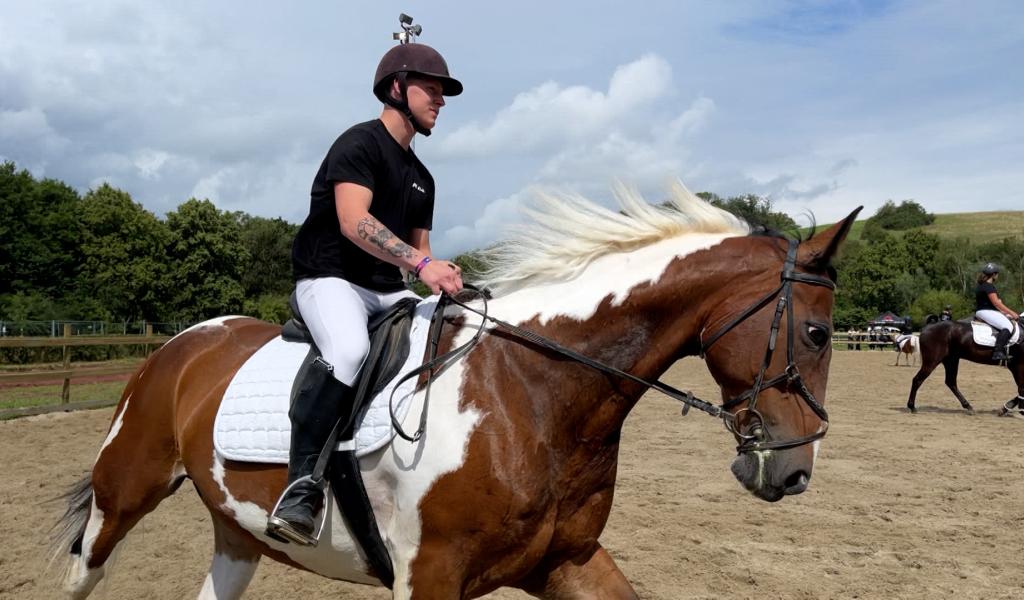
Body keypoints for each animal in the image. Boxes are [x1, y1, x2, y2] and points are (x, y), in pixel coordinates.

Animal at [54, 184, 856, 593]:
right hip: (124, 491)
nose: (795, 473)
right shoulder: (432, 575)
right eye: (818, 334)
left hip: (236, 530)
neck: (533, 391)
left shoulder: (565, 561)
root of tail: (182, 344)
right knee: (85, 569)